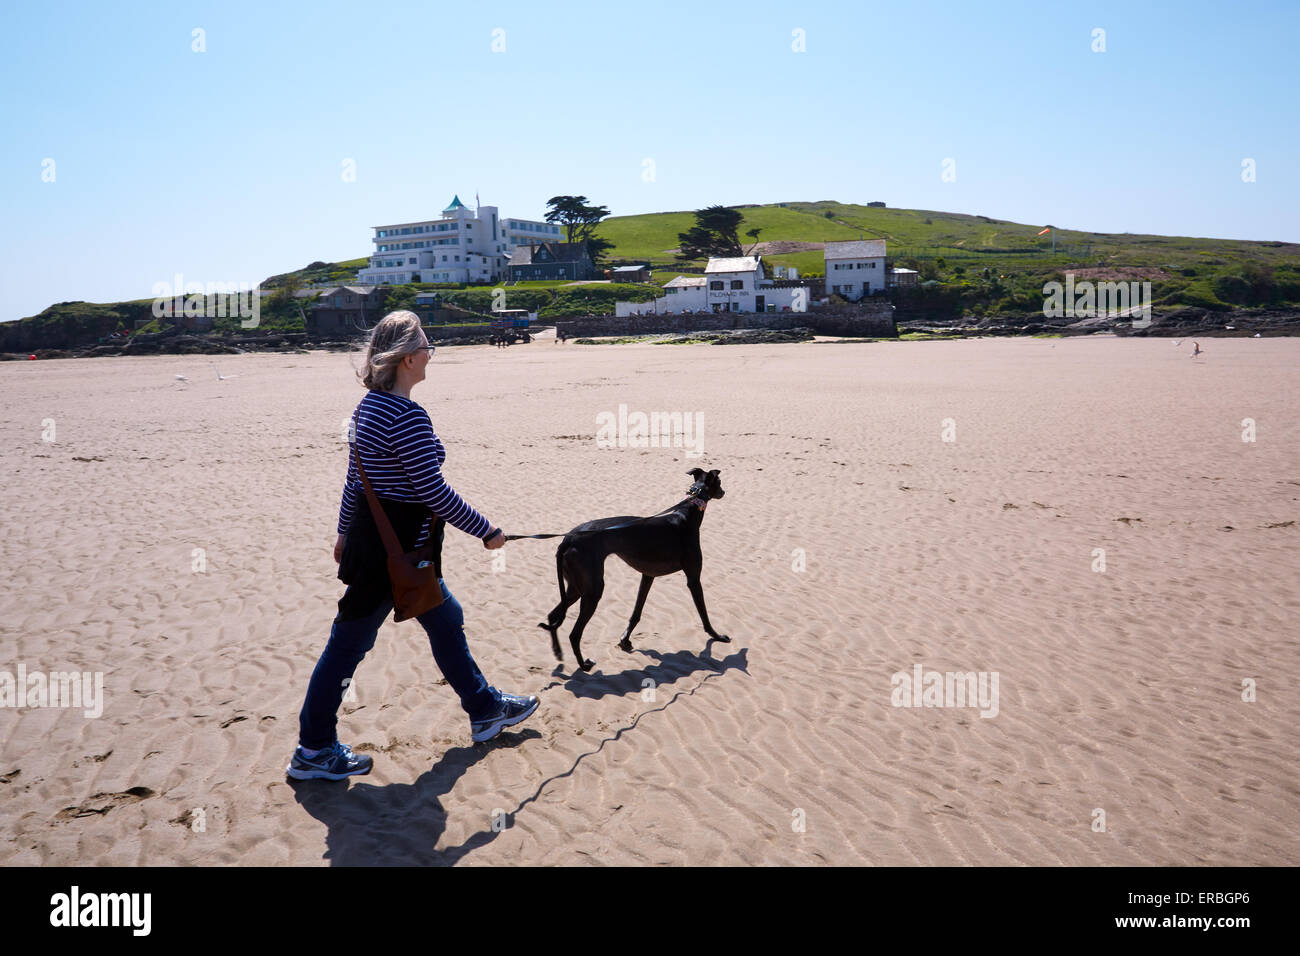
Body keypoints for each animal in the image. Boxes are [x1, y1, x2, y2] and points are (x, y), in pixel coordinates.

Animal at [533, 468, 728, 671]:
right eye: (720, 482)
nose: (724, 492)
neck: (687, 516)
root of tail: (568, 539)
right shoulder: (693, 578)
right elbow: (704, 614)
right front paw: (717, 636)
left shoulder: (648, 576)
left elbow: (636, 613)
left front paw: (625, 640)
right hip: (593, 590)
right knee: (574, 634)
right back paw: (584, 664)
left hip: (576, 588)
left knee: (553, 615)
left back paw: (558, 652)